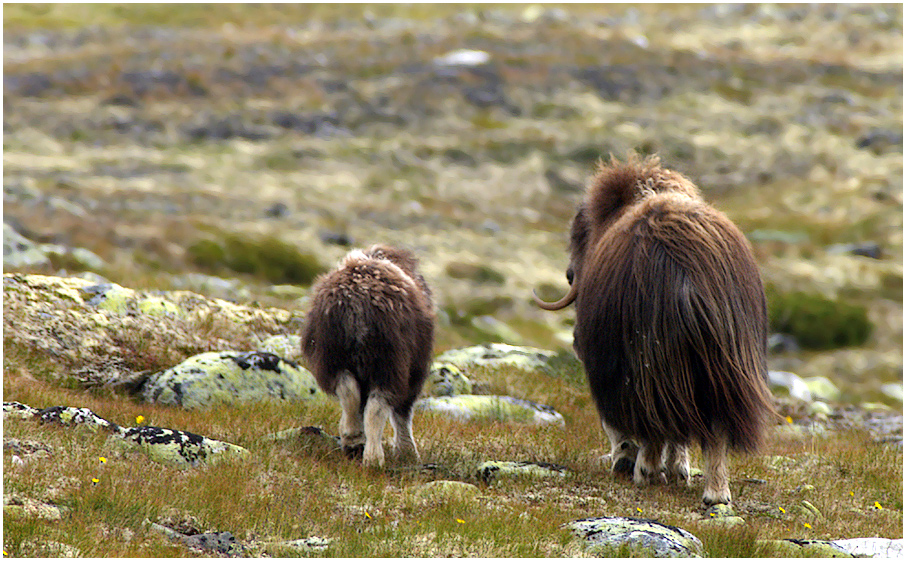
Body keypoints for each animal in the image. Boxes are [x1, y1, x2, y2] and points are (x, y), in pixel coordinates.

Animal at [300, 243, 434, 466]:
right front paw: (408, 453)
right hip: (389, 363)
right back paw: (373, 458)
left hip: (333, 357)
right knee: (377, 406)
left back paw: (353, 441)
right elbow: (402, 413)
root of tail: (355, 304)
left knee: (349, 392)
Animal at [532, 153, 772, 504]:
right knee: (714, 425)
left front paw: (632, 462)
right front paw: (678, 470)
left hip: (647, 359)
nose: (570, 273)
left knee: (653, 419)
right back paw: (715, 493)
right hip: (722, 364)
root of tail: (688, 273)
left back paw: (643, 471)